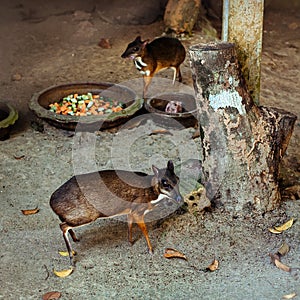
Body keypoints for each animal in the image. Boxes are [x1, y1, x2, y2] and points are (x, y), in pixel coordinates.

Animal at [50, 161, 182, 266]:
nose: (180, 198)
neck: (151, 192)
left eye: (177, 179)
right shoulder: (138, 210)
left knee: (64, 224)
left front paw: (130, 241)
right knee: (62, 226)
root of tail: (51, 203)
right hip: (86, 215)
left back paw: (76, 239)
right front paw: (150, 250)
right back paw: (71, 258)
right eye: (165, 183)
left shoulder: (130, 211)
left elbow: (129, 223)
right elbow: (144, 230)